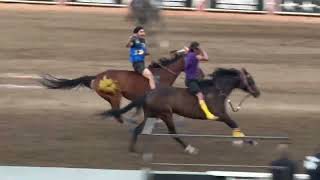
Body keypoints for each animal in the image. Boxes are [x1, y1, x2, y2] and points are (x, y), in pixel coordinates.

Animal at [40, 51, 204, 124]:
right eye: (195, 63)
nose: (202, 74)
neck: (161, 75)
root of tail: (97, 76)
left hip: (110, 97)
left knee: (116, 112)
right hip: (115, 96)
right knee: (116, 113)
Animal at [102, 67, 260, 153]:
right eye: (250, 80)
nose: (257, 93)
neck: (216, 90)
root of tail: (149, 93)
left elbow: (235, 126)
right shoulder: (221, 115)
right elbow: (235, 124)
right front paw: (250, 141)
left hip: (152, 115)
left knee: (138, 129)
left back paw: (133, 149)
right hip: (165, 114)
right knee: (173, 133)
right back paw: (190, 148)